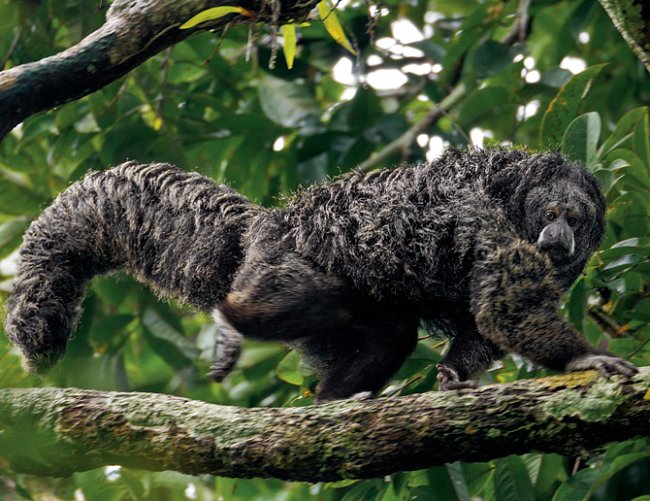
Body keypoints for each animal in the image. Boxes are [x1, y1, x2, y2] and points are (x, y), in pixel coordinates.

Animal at [2, 147, 636, 398]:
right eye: (552, 214)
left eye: (577, 220)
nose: (560, 239)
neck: (513, 197)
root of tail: (262, 223)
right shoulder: (478, 212)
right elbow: (504, 300)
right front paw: (581, 359)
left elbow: (482, 323)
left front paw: (454, 375)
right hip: (282, 254)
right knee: (303, 293)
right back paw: (235, 320)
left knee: (388, 332)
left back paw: (334, 399)